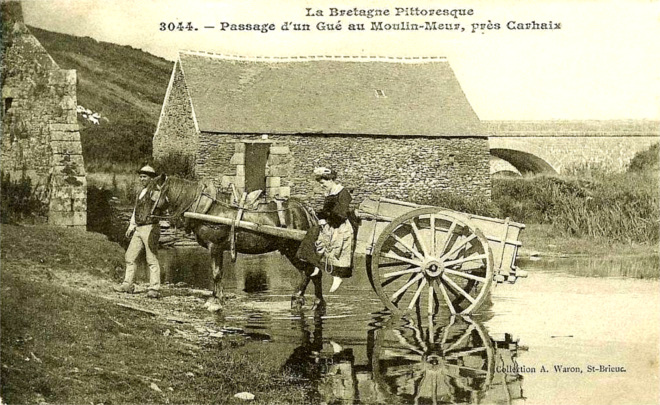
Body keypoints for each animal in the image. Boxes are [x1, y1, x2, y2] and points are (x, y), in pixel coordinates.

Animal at [148, 174, 326, 312]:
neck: (207, 207)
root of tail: (305, 209)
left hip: (294, 249)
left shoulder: (215, 246)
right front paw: (217, 297)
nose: (146, 216)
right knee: (314, 273)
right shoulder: (218, 248)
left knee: (309, 272)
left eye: (151, 193)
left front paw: (216, 300)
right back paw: (318, 302)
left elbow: (216, 273)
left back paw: (297, 298)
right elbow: (218, 273)